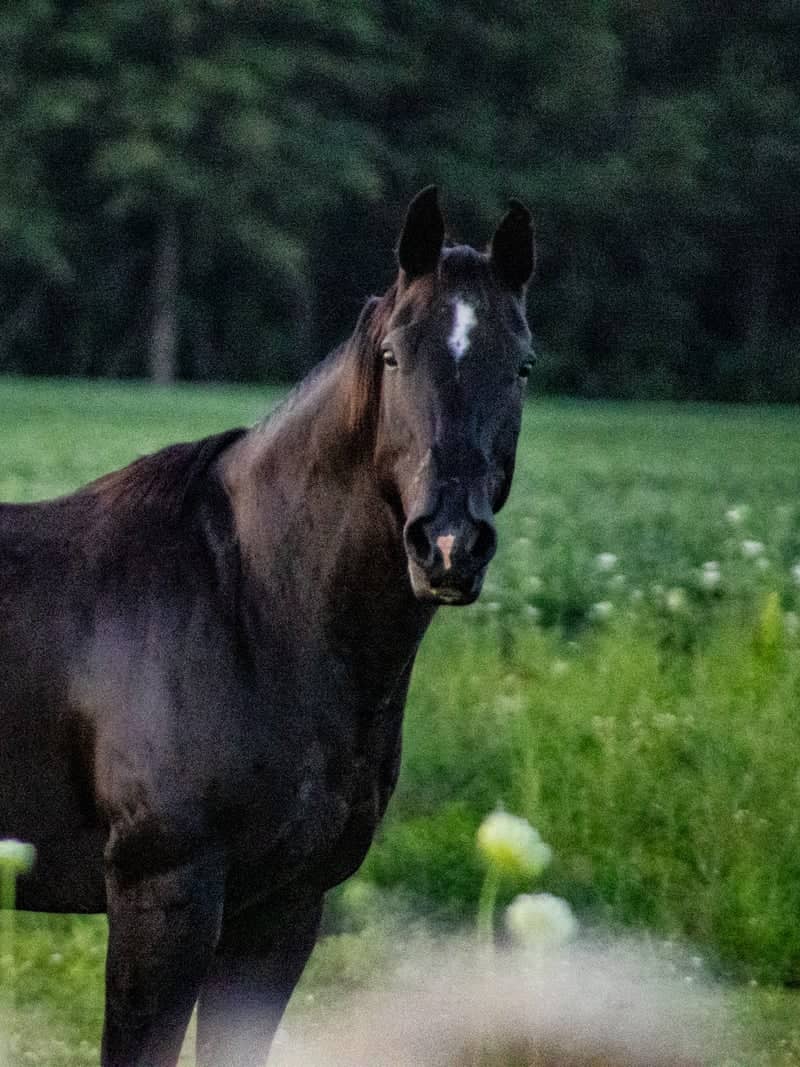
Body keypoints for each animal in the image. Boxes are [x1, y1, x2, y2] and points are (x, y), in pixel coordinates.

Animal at [0, 186, 535, 1066]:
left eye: (521, 365)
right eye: (394, 356)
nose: (449, 543)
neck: (248, 606)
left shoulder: (284, 907)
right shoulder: (164, 896)